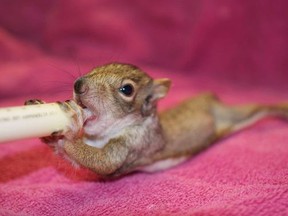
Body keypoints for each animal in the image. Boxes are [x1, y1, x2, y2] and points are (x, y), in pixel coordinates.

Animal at [25, 63, 288, 178]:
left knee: (260, 109)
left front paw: (67, 133)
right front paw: (46, 125)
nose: (78, 84)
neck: (102, 134)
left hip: (235, 113)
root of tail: (211, 98)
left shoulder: (135, 143)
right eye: (96, 66)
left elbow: (104, 161)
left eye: (127, 89)